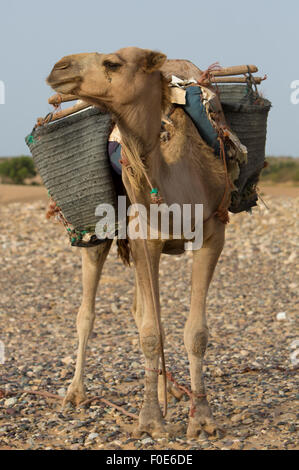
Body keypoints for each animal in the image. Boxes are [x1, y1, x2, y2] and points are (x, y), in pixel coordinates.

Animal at [47, 47, 231, 436]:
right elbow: (150, 332)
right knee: (88, 313)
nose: (59, 67)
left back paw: (170, 391)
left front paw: (202, 419)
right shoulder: (145, 238)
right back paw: (74, 393)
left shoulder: (213, 233)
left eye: (112, 63)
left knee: (141, 309)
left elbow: (195, 332)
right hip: (100, 236)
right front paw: (149, 421)